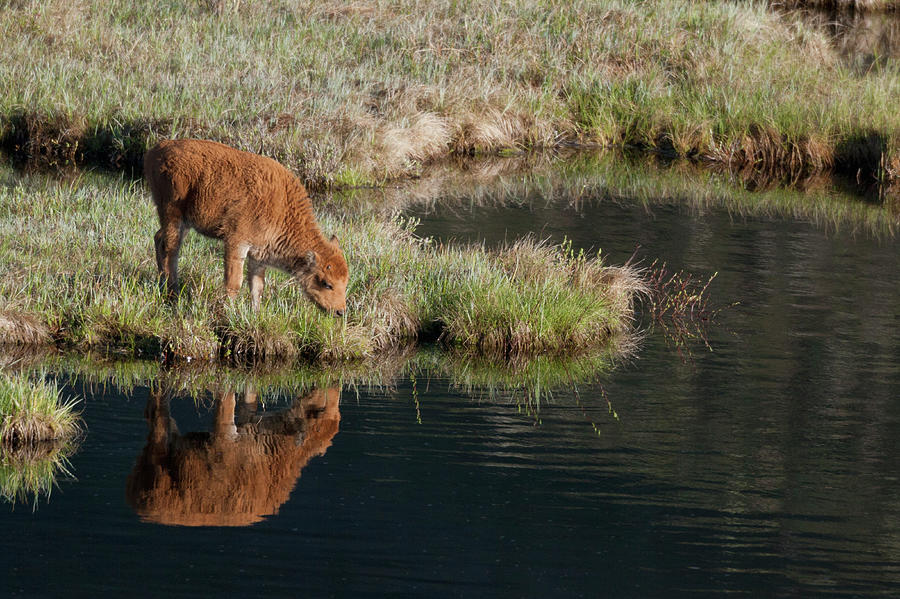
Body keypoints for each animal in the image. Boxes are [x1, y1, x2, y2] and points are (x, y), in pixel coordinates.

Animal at [143, 139, 348, 314]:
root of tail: (156, 150)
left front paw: (256, 314)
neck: (282, 208)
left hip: (184, 223)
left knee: (159, 239)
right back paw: (172, 293)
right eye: (326, 283)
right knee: (170, 250)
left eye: (345, 283)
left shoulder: (258, 255)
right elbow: (234, 283)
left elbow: (257, 287)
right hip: (173, 215)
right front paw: (229, 312)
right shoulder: (236, 243)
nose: (340, 311)